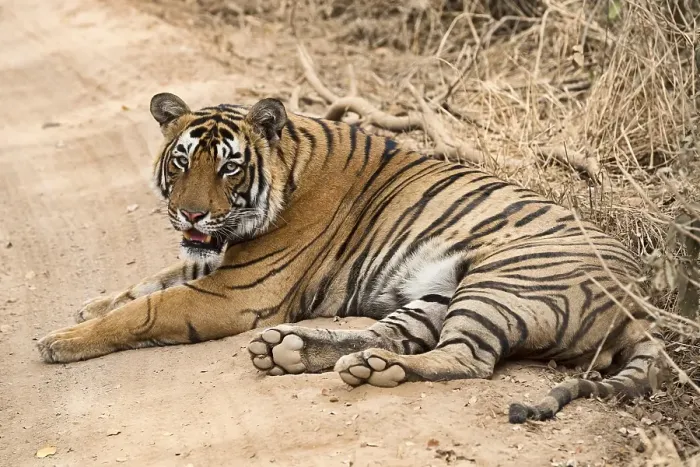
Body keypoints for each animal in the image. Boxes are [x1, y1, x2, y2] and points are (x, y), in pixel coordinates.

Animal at [37, 92, 668, 423]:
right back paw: (295, 352)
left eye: (230, 167)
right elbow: (148, 282)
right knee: (389, 335)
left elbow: (147, 308)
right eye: (182, 161)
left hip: (502, 281)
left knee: (466, 359)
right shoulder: (217, 261)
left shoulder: (240, 292)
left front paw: (59, 340)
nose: (190, 215)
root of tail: (646, 305)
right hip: (439, 292)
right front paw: (87, 307)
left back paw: (372, 370)